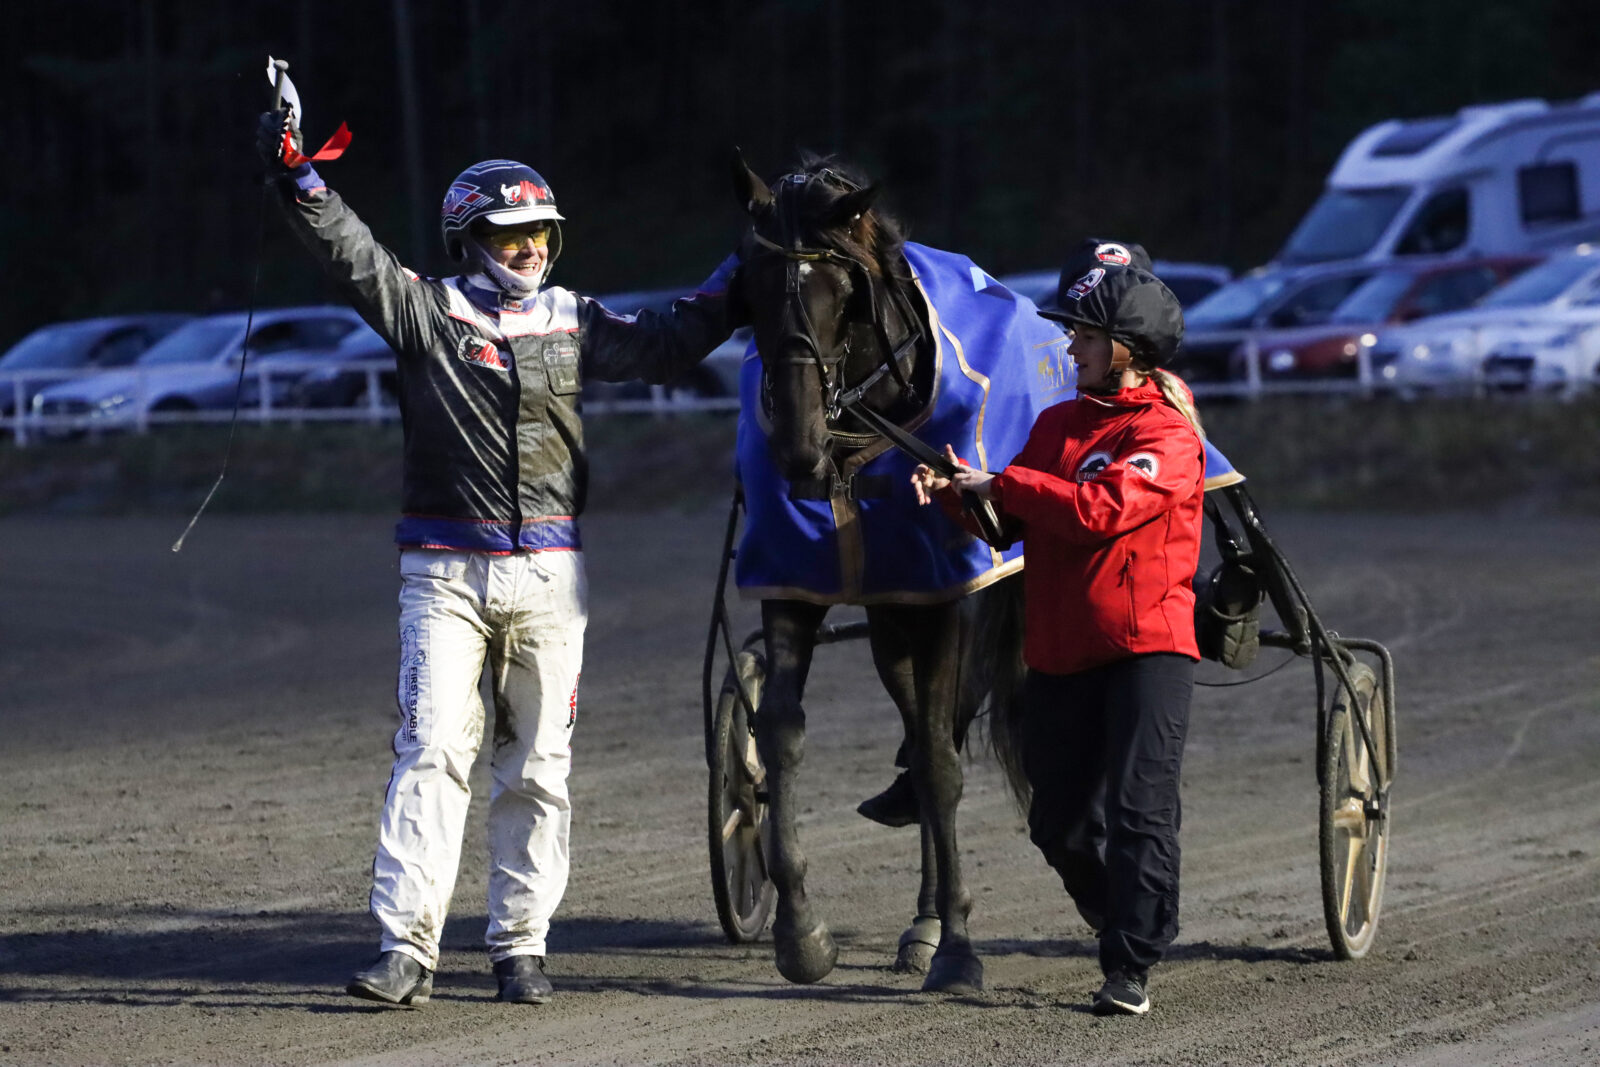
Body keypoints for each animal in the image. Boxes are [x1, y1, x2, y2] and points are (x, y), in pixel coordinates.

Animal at [727, 151, 1064, 993]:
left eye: (840, 289)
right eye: (747, 282)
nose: (797, 445)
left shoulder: (946, 594)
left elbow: (943, 762)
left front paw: (959, 947)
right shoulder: (798, 582)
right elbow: (781, 733)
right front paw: (801, 932)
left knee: (942, 731)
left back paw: (937, 921)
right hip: (889, 616)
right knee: (916, 721)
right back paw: (923, 916)